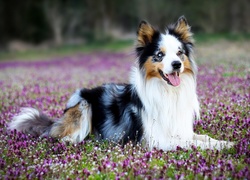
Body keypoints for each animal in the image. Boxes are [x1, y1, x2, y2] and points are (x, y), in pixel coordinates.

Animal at [8, 16, 233, 150]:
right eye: (160, 55)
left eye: (179, 53)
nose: (177, 64)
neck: (167, 92)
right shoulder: (156, 139)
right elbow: (191, 143)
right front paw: (222, 147)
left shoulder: (180, 128)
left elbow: (203, 138)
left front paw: (226, 142)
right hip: (83, 104)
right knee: (62, 135)